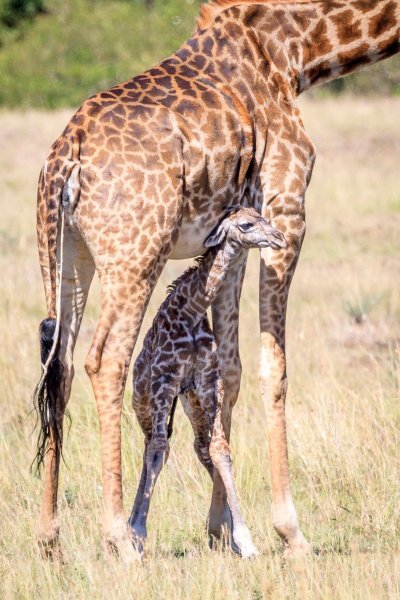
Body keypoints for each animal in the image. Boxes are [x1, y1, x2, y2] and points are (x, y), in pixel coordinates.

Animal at [128, 206, 284, 556]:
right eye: (246, 224)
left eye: (262, 216)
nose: (279, 237)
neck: (192, 311)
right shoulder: (165, 379)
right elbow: (158, 450)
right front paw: (138, 534)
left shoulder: (207, 380)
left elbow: (220, 450)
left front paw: (243, 540)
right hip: (144, 402)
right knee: (152, 447)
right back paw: (132, 525)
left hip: (191, 403)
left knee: (199, 447)